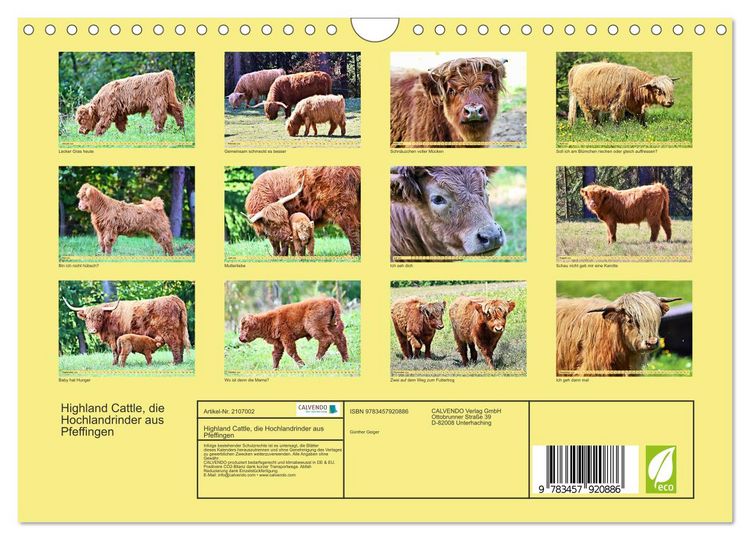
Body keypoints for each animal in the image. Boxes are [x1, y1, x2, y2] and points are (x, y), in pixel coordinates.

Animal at [63, 295, 191, 365]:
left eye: (99, 317)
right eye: (88, 318)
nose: (92, 331)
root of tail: (173, 298)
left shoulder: (113, 337)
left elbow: (115, 351)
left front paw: (114, 364)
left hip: (168, 331)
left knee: (175, 344)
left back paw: (174, 363)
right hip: (179, 329)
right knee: (181, 344)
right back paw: (180, 362)